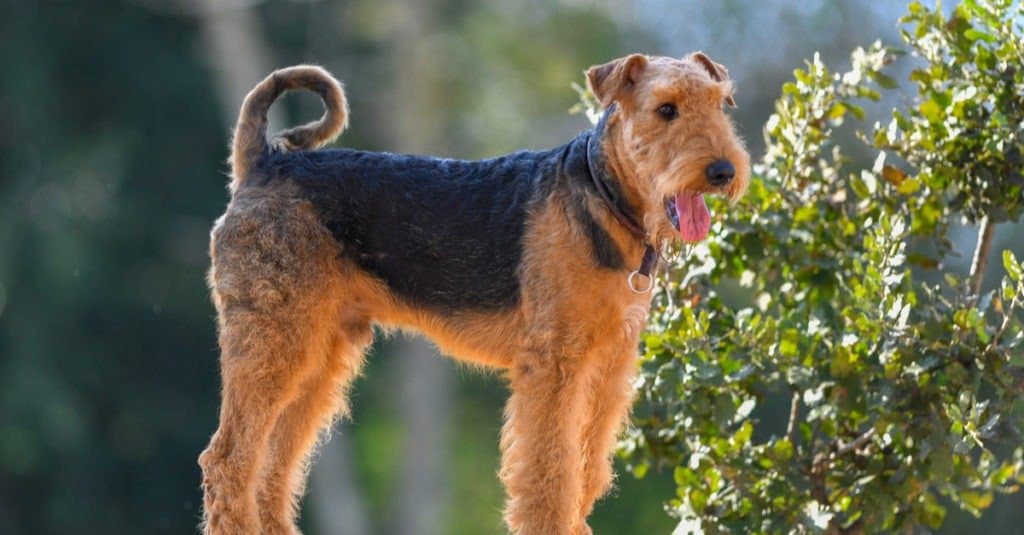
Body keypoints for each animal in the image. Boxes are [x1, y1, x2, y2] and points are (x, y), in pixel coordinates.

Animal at [199, 50, 749, 532]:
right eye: (666, 109)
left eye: (722, 103)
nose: (723, 171)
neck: (603, 197)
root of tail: (264, 163)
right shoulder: (554, 363)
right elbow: (550, 471)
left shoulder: (609, 365)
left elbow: (587, 468)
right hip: (273, 340)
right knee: (227, 459)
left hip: (319, 353)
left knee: (272, 466)